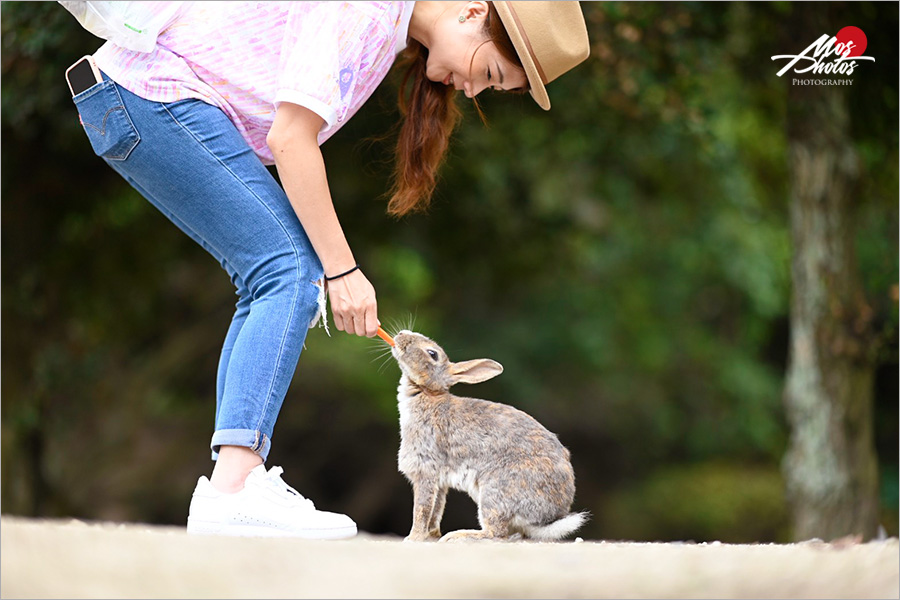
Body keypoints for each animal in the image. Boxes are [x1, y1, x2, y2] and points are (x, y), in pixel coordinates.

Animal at [388, 330, 588, 540]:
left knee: (495, 532)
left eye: (432, 354)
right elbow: (436, 509)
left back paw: (458, 535)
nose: (402, 334)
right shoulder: (439, 483)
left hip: (494, 491)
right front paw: (432, 535)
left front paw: (413, 538)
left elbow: (422, 508)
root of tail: (548, 517)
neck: (426, 393)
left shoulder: (425, 469)